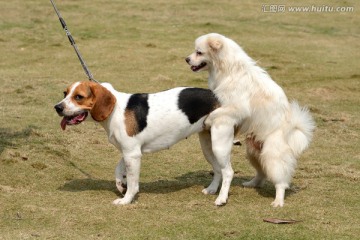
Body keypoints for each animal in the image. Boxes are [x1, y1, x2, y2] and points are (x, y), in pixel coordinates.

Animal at [52, 81, 233, 205]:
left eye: (79, 97)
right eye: (65, 93)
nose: (57, 107)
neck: (115, 110)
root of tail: (223, 97)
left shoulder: (132, 154)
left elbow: (133, 183)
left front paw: (125, 200)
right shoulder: (129, 152)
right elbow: (118, 169)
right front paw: (120, 185)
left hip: (219, 145)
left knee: (228, 172)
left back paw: (221, 199)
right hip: (208, 146)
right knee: (218, 170)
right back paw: (212, 190)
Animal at [186, 33, 316, 206]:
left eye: (199, 52)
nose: (186, 59)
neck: (228, 69)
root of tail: (293, 130)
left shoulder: (237, 107)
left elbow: (217, 113)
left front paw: (209, 119)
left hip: (271, 156)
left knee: (280, 182)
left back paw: (278, 201)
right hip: (253, 152)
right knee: (261, 174)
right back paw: (251, 183)